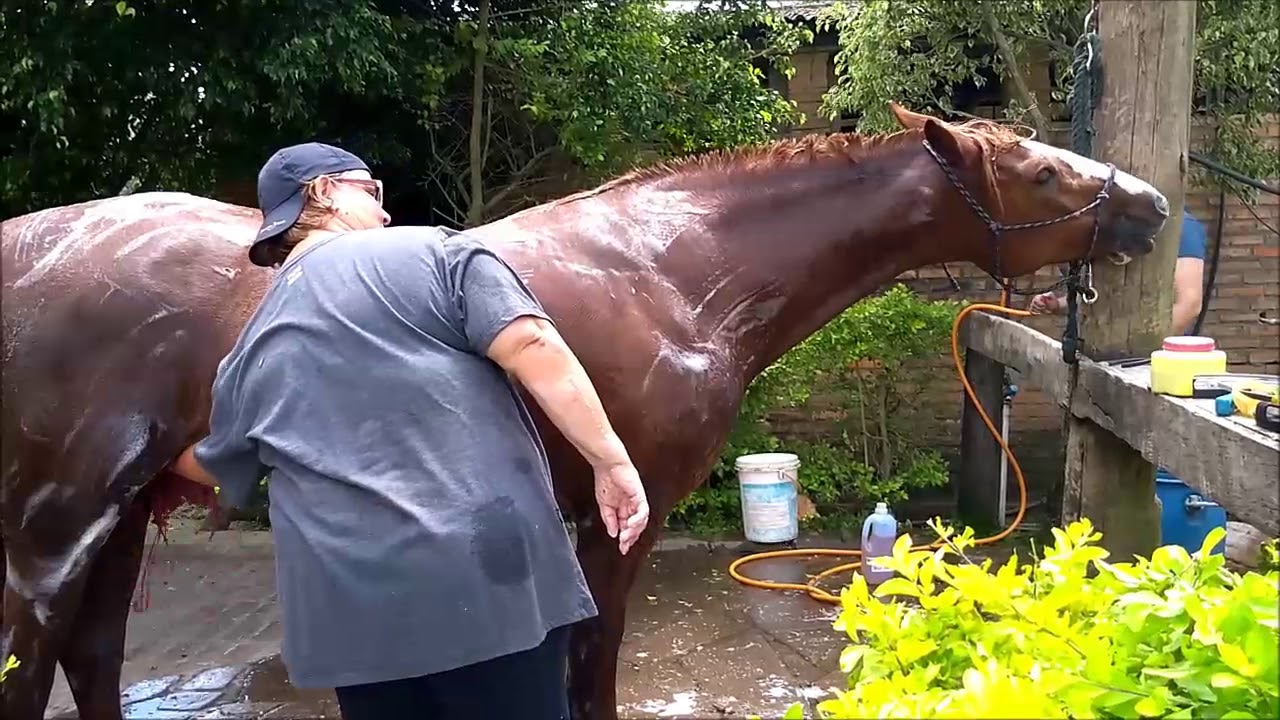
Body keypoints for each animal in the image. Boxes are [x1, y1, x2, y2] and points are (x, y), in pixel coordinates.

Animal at [1, 103, 1169, 720]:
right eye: (1038, 167)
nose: (1152, 206)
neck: (671, 269)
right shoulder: (623, 512)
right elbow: (592, 659)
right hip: (59, 520)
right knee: (34, 655)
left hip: (122, 514)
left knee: (91, 655)